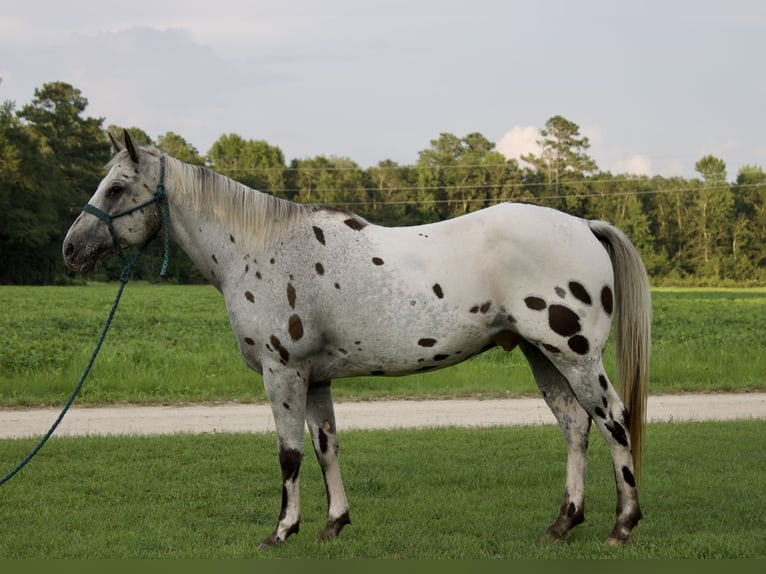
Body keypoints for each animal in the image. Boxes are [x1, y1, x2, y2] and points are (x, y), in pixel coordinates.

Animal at [67, 130, 656, 548]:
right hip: (542, 356)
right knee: (575, 426)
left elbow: (289, 454)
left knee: (613, 421)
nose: (72, 249)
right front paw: (334, 524)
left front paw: (281, 531)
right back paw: (563, 523)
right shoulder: (314, 377)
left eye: (115, 188)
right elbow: (326, 446)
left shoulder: (284, 372)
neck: (260, 248)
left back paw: (623, 525)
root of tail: (583, 224)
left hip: (576, 357)